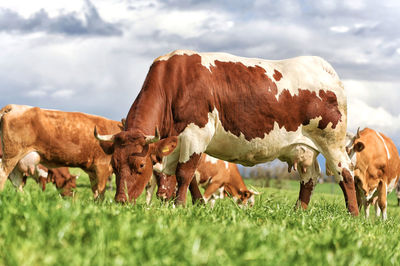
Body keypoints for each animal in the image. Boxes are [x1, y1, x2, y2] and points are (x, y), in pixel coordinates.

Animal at [96, 50, 360, 216]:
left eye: (140, 166)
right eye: (114, 165)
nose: (120, 202)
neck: (174, 82)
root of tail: (321, 66)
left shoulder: (196, 133)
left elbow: (184, 173)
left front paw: (180, 206)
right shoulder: (175, 141)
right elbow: (179, 177)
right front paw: (191, 205)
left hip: (332, 142)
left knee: (345, 173)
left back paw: (354, 215)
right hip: (304, 149)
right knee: (309, 178)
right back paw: (298, 212)